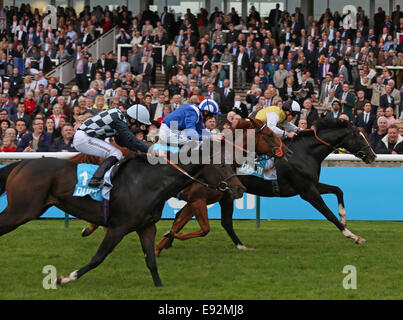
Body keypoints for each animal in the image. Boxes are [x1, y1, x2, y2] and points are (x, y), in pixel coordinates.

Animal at [0, 139, 246, 286]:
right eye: (222, 165)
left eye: (231, 164)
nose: (240, 189)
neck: (150, 183)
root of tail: (21, 165)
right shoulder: (119, 227)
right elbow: (98, 257)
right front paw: (67, 278)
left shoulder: (146, 227)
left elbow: (151, 261)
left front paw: (159, 286)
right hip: (21, 210)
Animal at [155, 117, 378, 255]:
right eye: (359, 136)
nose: (373, 156)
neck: (304, 152)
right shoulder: (306, 191)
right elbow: (327, 213)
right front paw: (352, 235)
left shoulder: (311, 184)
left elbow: (338, 190)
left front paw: (344, 217)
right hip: (214, 195)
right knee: (212, 220)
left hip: (219, 195)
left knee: (184, 216)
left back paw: (168, 242)